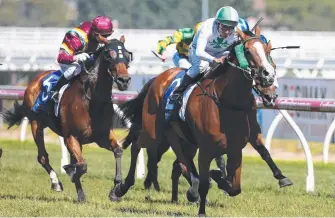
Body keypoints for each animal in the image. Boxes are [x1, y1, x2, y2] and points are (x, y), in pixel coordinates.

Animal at [1, 36, 133, 202]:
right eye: (109, 55)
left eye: (128, 55)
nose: (124, 80)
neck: (92, 101)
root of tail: (36, 79)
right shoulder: (70, 136)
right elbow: (81, 166)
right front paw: (70, 172)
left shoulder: (102, 136)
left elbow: (118, 151)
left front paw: (116, 190)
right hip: (36, 124)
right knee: (43, 157)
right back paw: (56, 182)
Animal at [115, 26, 280, 215]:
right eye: (247, 51)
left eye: (267, 50)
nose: (268, 75)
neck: (228, 103)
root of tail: (158, 78)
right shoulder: (206, 149)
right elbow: (205, 182)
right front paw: (202, 208)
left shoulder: (235, 149)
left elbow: (234, 187)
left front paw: (216, 180)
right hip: (153, 131)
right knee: (137, 146)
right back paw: (121, 188)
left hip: (180, 138)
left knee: (181, 162)